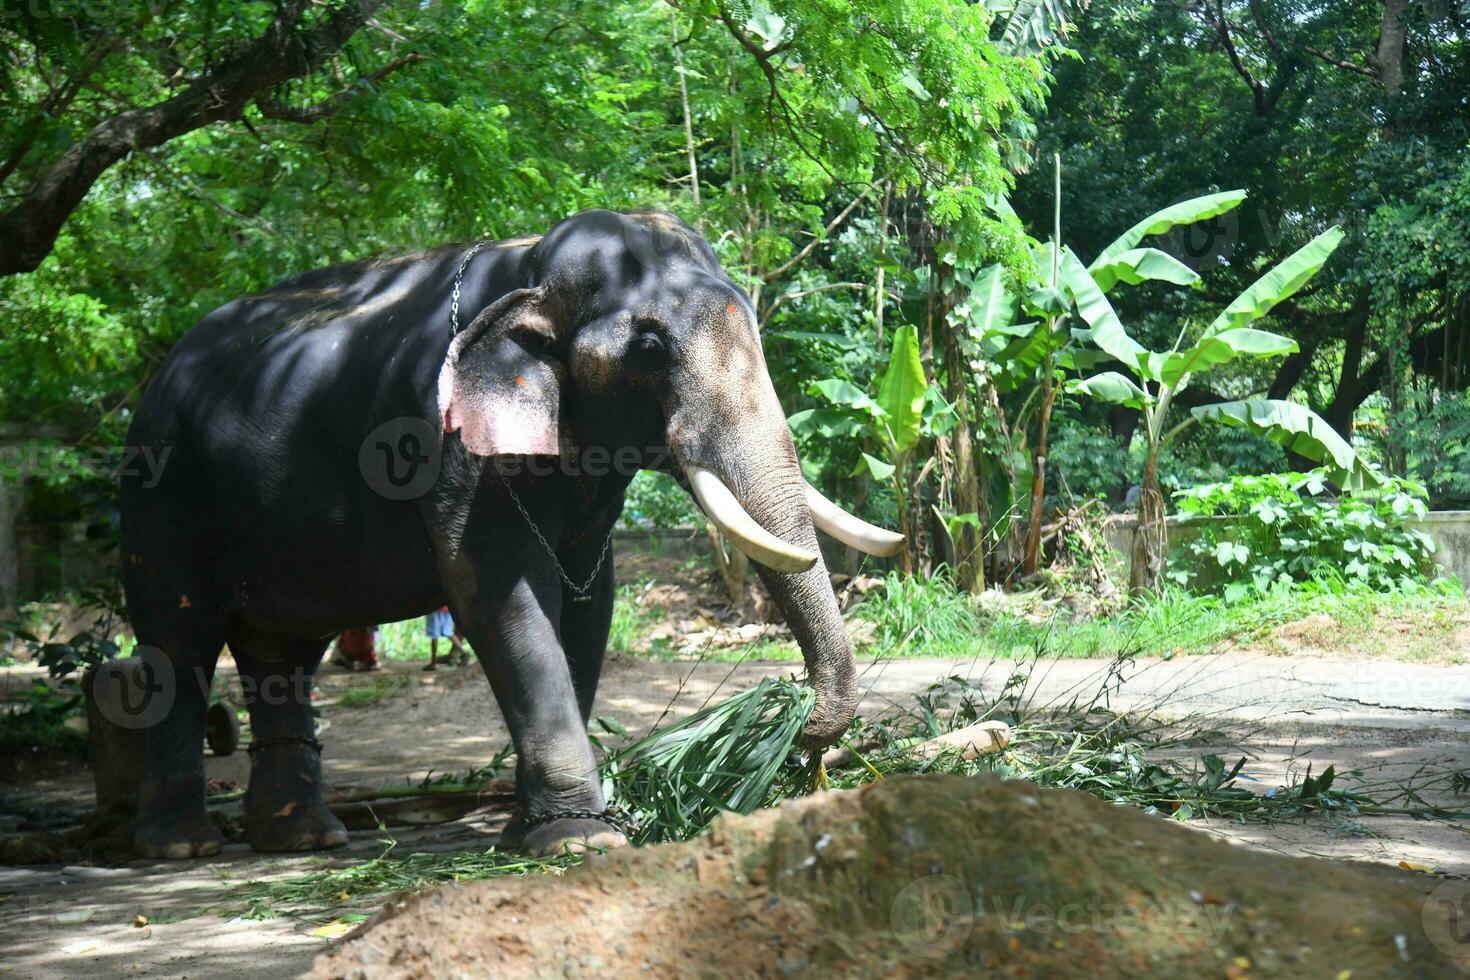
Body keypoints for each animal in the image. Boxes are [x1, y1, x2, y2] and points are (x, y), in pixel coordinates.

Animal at [120, 208, 899, 858]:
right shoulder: (450, 445)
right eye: (650, 348)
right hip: (161, 493)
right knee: (178, 641)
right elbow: (499, 594)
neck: (531, 269)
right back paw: (181, 847)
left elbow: (588, 602)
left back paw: (306, 838)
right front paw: (579, 840)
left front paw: (536, 830)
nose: (803, 729)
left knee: (282, 654)